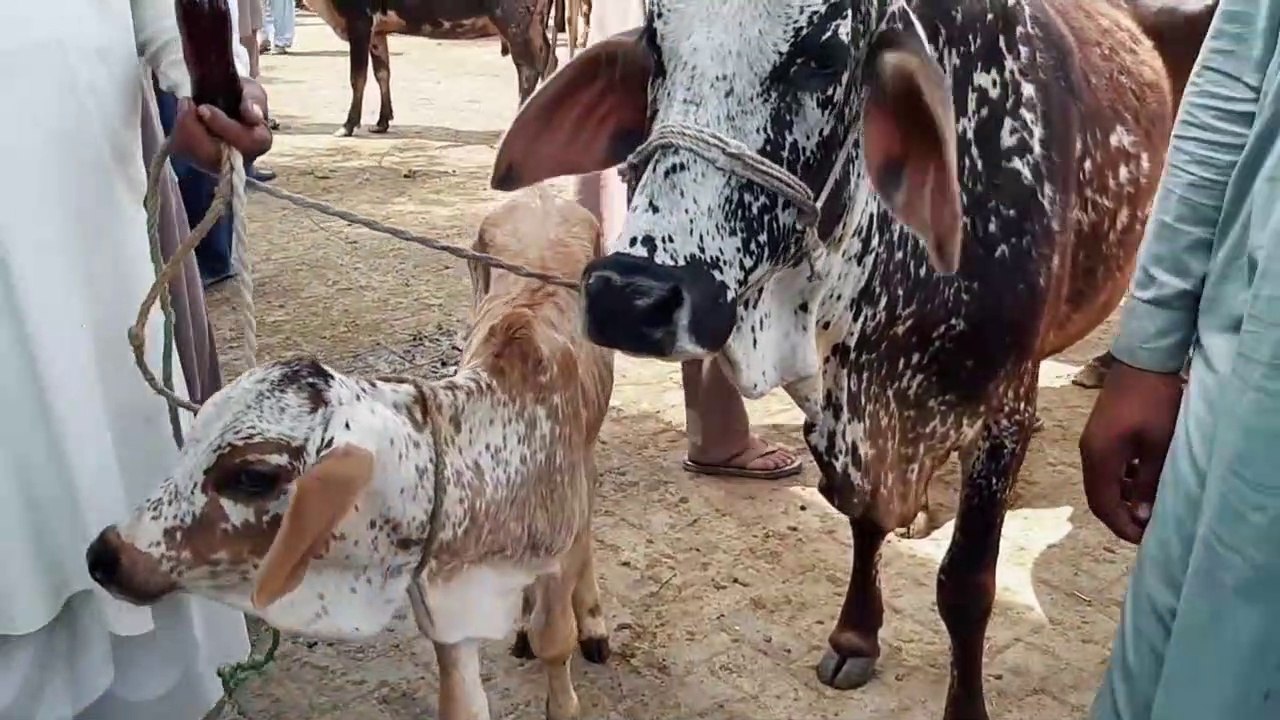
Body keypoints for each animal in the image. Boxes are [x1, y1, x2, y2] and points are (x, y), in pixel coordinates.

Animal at [85, 187, 614, 720]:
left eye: (254, 475)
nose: (104, 554)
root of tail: (542, 196)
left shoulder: (558, 552)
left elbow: (555, 641)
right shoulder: (444, 609)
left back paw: (592, 621)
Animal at [303, 0, 556, 137]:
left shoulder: (359, 22)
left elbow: (358, 78)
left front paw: (347, 125)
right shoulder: (377, 31)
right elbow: (382, 73)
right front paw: (382, 122)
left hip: (514, 23)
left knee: (528, 70)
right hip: (534, 24)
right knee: (549, 60)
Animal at [487, 1, 1217, 717]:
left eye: (823, 57)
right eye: (656, 45)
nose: (631, 295)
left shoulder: (1003, 415)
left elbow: (966, 584)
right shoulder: (837, 409)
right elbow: (865, 521)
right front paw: (855, 636)